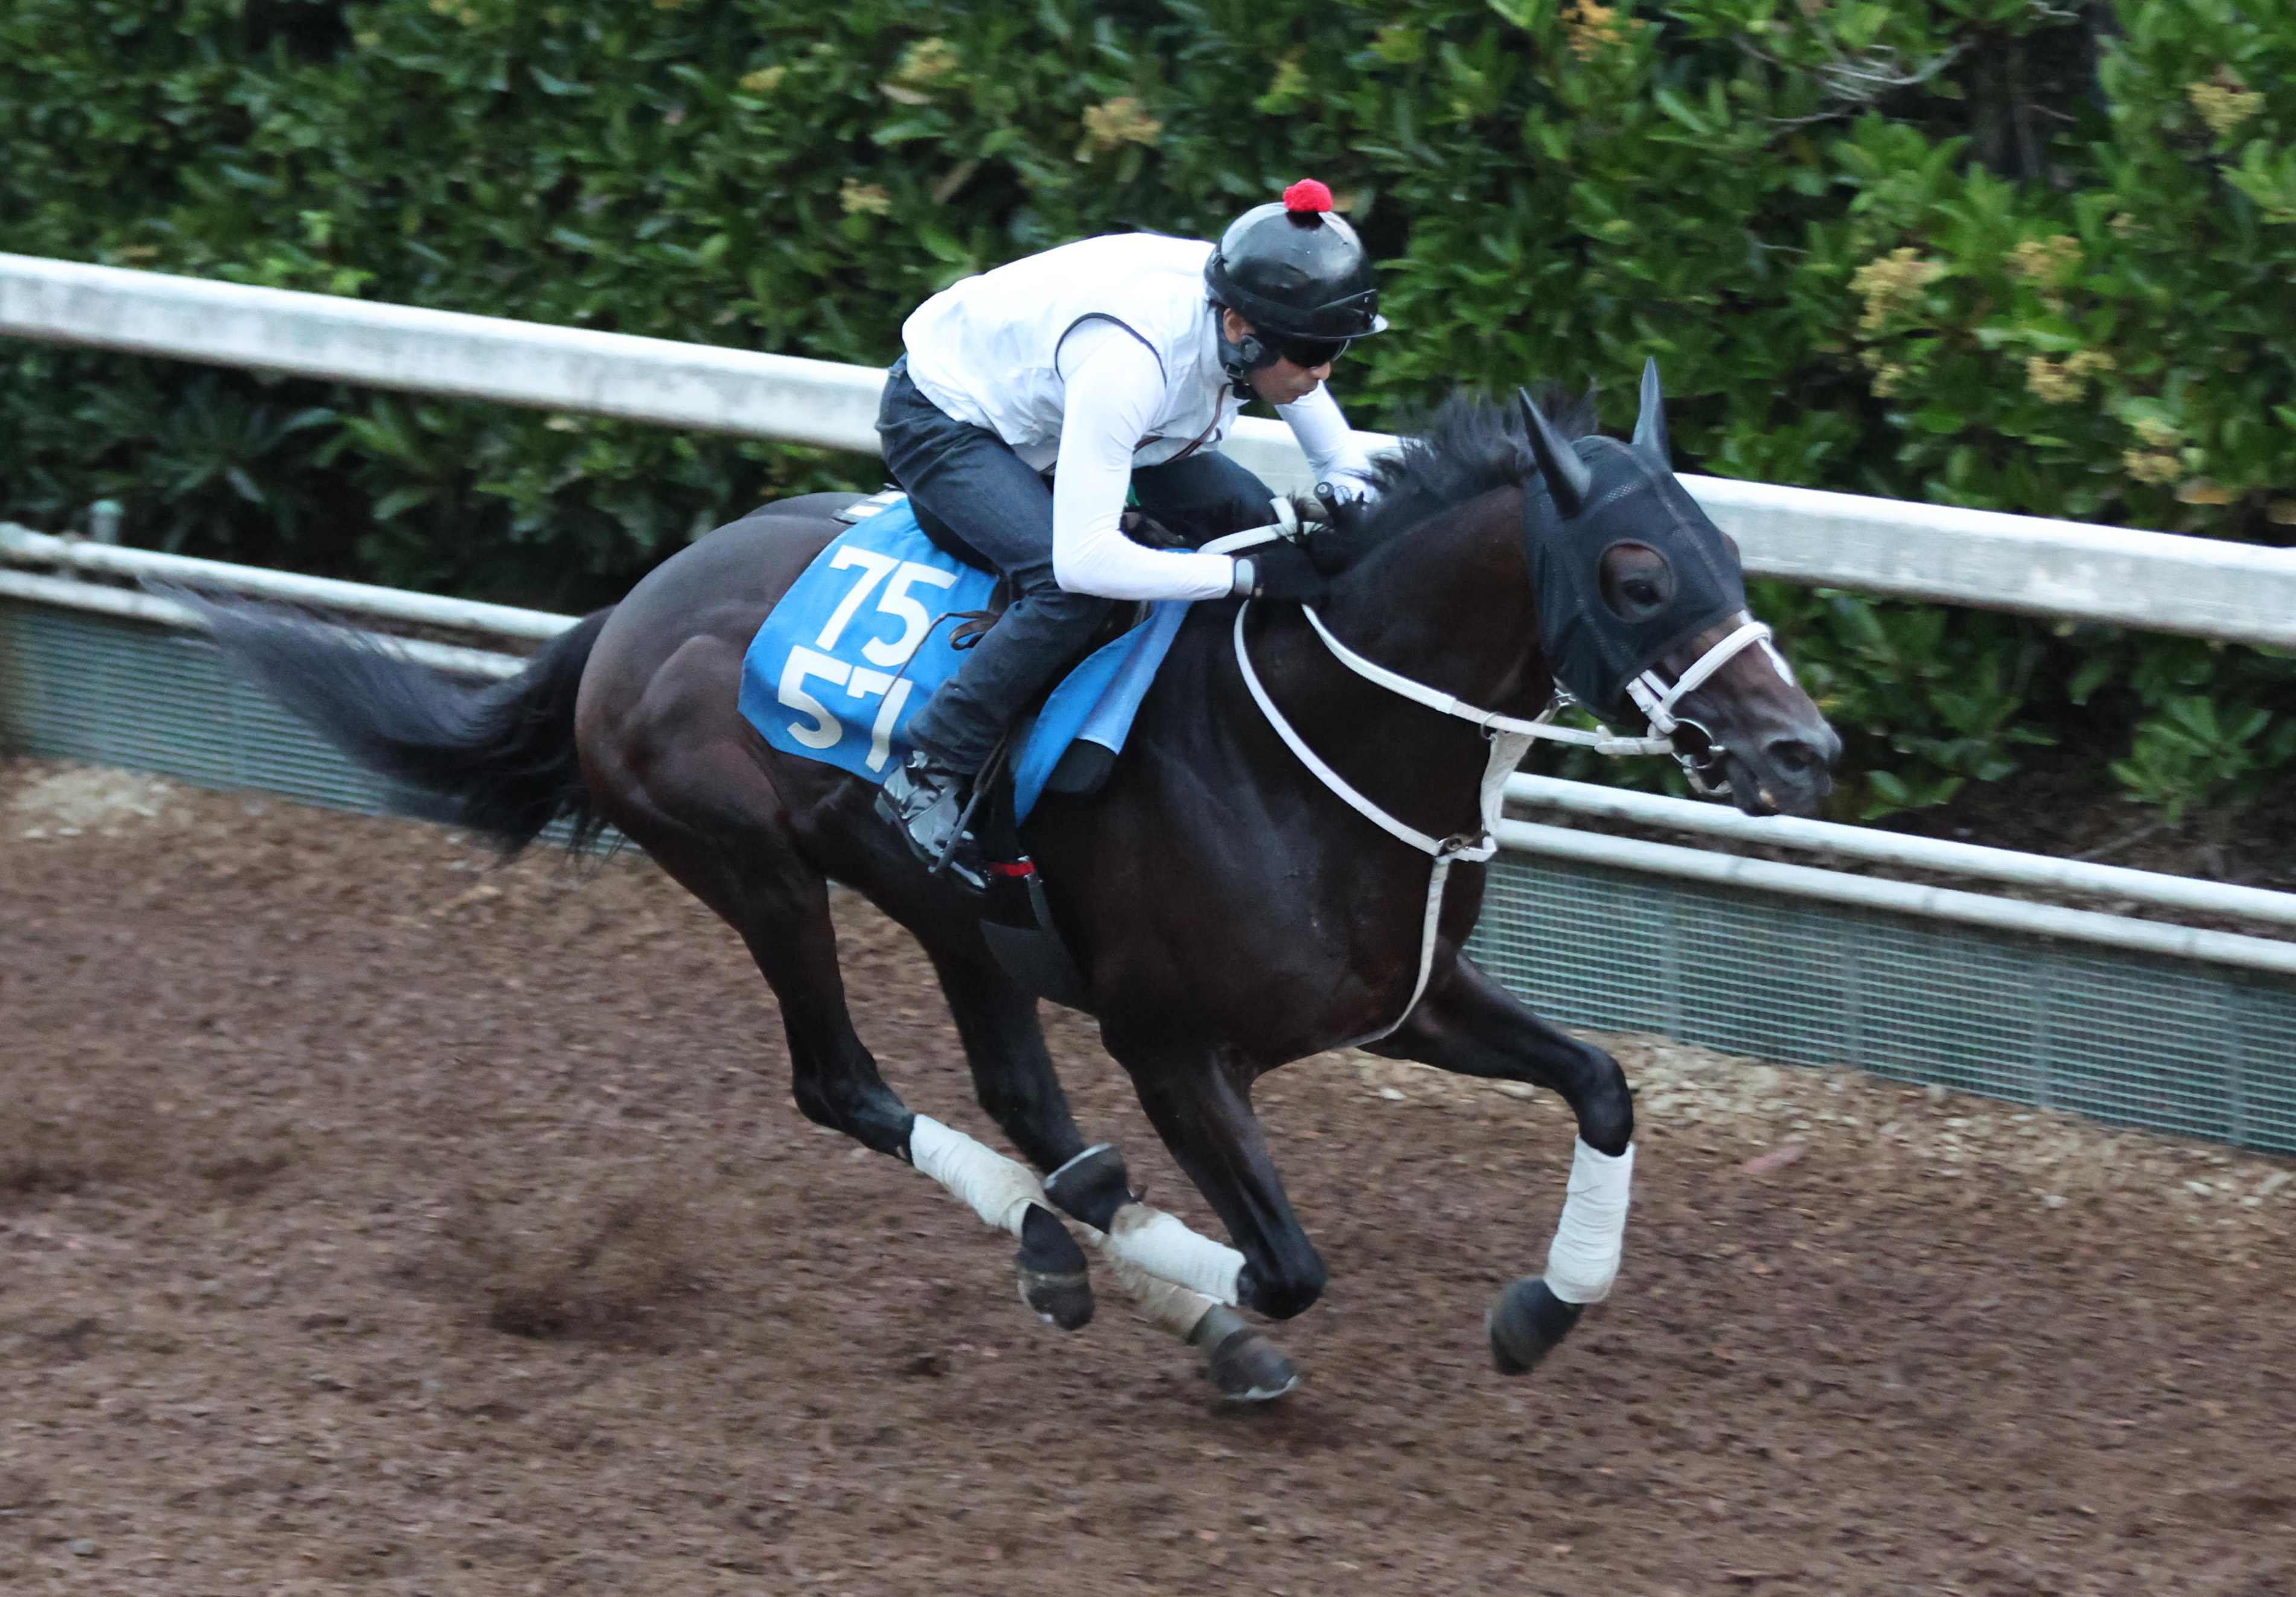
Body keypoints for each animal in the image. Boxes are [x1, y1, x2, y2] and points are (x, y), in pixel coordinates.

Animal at [192, 370, 1839, 1400]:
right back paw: (1067, 1243)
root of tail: (633, 606)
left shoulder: (1404, 999)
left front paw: (1540, 1307)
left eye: (1728, 552)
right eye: (1636, 574)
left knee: (1020, 1099)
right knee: (844, 1085)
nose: (1800, 747)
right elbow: (1288, 1265)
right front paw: (1175, 1279)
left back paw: (1100, 1242)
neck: (1305, 741)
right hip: (755, 872)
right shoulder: (1171, 1043)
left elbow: (1603, 1085)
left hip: (958, 918)